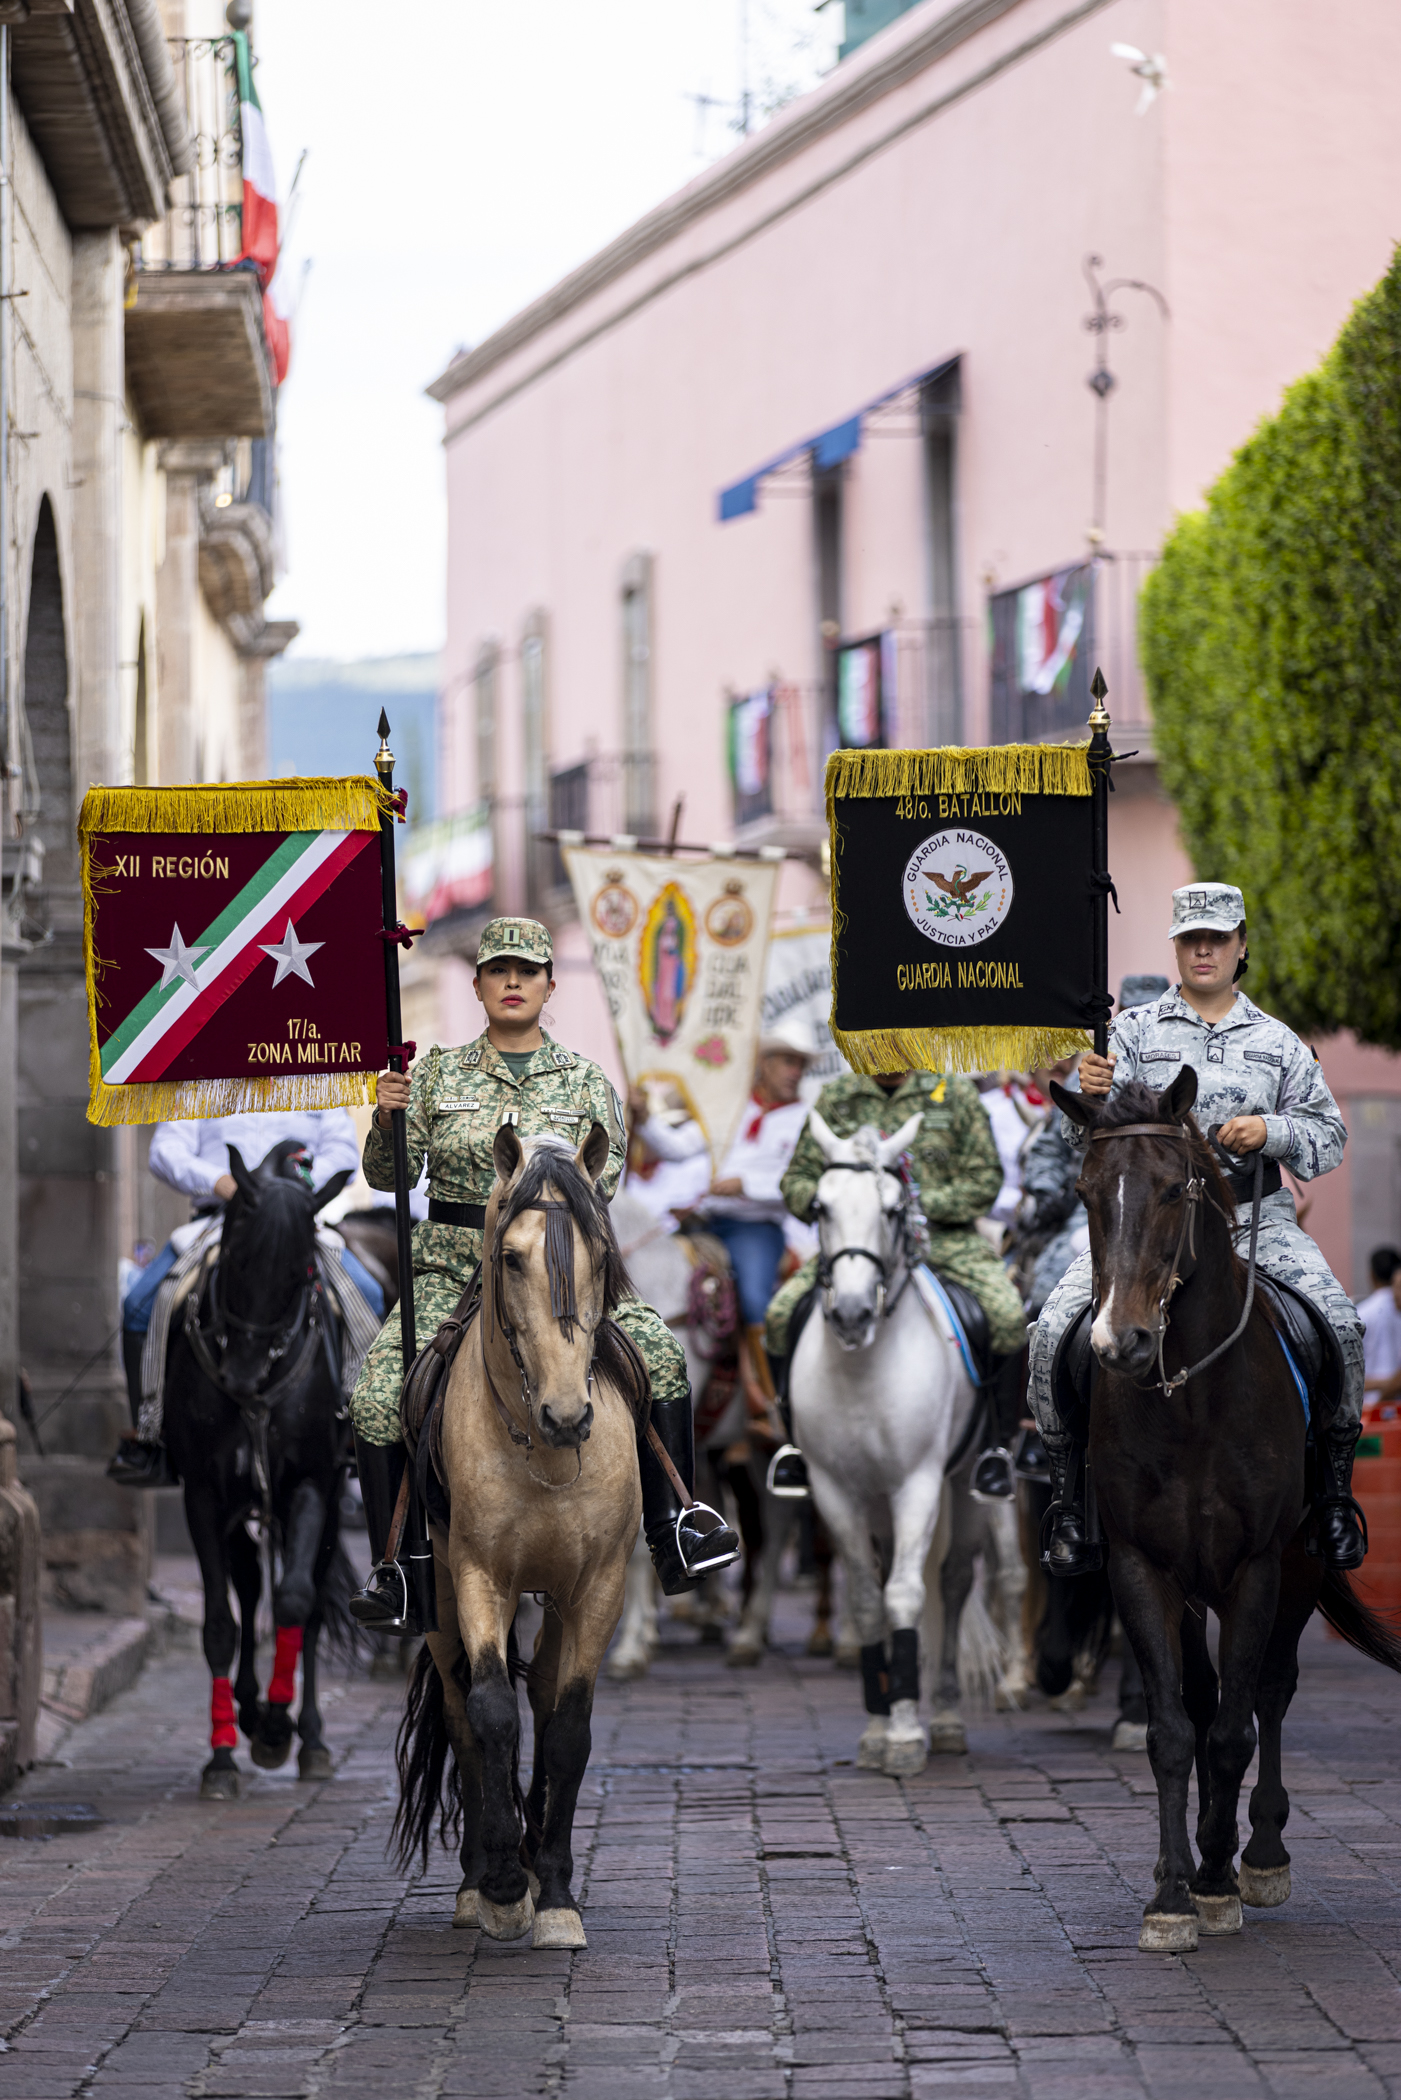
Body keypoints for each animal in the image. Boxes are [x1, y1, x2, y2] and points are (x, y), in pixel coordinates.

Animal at [160, 1142, 357, 1797]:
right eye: (238, 1262)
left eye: (301, 1273)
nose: (241, 1377)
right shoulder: (202, 1494)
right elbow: (220, 1624)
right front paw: (222, 1754)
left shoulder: (312, 1484)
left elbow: (296, 1600)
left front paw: (277, 1725)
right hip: (239, 1504)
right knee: (247, 1585)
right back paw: (245, 1708)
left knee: (309, 1603)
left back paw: (308, 1737)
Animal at [394, 1134, 646, 1948]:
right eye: (509, 1257)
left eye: (601, 1253)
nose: (568, 1416)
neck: (543, 1453)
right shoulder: (478, 1576)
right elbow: (492, 1713)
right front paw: (504, 1885)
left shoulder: (600, 1584)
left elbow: (566, 1727)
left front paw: (556, 1891)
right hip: (438, 1597)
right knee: (461, 1709)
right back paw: (482, 1879)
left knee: (538, 1691)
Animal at [793, 1117, 983, 1772]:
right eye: (819, 1206)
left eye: (894, 1208)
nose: (852, 1313)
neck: (862, 1370)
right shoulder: (835, 1492)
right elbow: (868, 1603)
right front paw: (879, 1727)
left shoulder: (917, 1485)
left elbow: (904, 1595)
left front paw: (904, 1732)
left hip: (965, 1481)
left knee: (953, 1580)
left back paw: (946, 1718)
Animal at [1050, 1066, 1401, 1948]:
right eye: (1085, 1192)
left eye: (1175, 1188)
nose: (1120, 1344)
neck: (1190, 1399)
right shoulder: (1142, 1568)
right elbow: (1177, 1730)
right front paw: (1175, 1890)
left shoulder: (1256, 1568)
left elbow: (1237, 1726)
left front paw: (1220, 1876)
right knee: (1209, 1700)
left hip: (1301, 1564)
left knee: (1269, 1692)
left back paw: (1261, 1853)